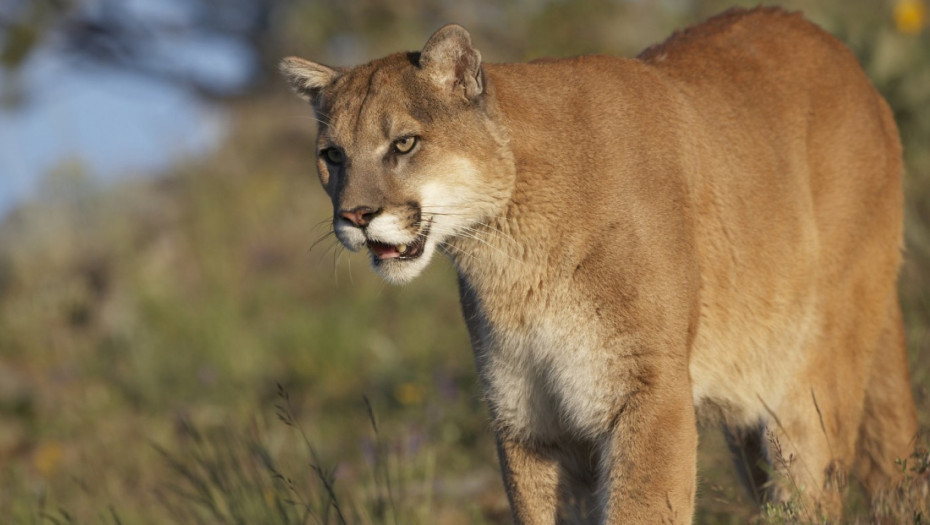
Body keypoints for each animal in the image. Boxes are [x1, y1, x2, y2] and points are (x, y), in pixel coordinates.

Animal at [280, 6, 912, 520]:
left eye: (405, 144)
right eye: (332, 155)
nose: (355, 215)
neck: (511, 255)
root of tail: (850, 61)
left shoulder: (649, 393)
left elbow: (641, 507)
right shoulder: (530, 419)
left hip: (811, 386)